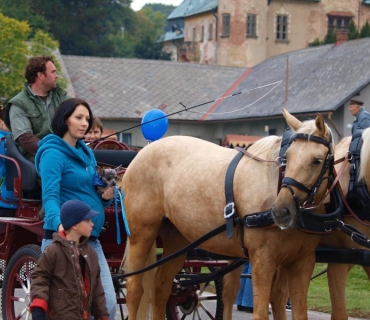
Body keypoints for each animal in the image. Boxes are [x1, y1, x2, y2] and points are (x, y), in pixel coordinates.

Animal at [121, 109, 332, 318]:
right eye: (287, 156)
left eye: (317, 160)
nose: (281, 211)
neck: (274, 182)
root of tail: (143, 152)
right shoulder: (263, 260)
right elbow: (261, 312)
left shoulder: (302, 262)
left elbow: (298, 312)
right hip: (142, 234)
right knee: (134, 290)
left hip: (176, 239)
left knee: (161, 288)